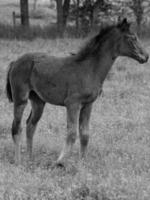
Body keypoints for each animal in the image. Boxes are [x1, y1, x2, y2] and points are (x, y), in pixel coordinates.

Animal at [5, 18, 149, 165]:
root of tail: (15, 62)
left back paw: (30, 158)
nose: (145, 56)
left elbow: (85, 134)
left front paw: (82, 162)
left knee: (30, 126)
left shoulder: (88, 104)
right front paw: (60, 162)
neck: (89, 69)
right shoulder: (73, 104)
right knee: (16, 127)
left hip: (38, 101)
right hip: (20, 98)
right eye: (132, 38)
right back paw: (18, 160)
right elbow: (72, 133)